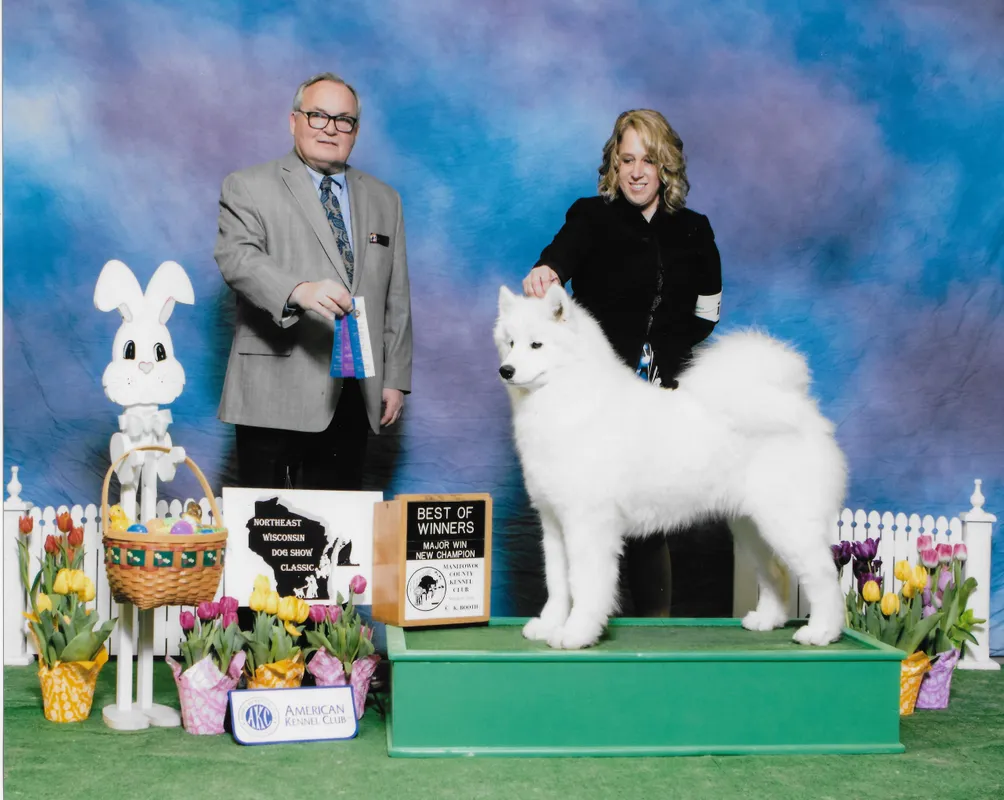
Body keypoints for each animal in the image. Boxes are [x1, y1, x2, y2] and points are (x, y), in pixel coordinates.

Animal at [493, 285, 847, 650]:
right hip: (752, 527)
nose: (506, 370)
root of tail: (802, 410)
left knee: (823, 577)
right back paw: (767, 620)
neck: (569, 400)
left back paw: (821, 632)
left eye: (536, 344)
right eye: (510, 343)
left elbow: (584, 584)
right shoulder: (553, 522)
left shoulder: (587, 524)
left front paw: (576, 633)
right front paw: (549, 625)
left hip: (788, 524)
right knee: (776, 573)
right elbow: (557, 582)